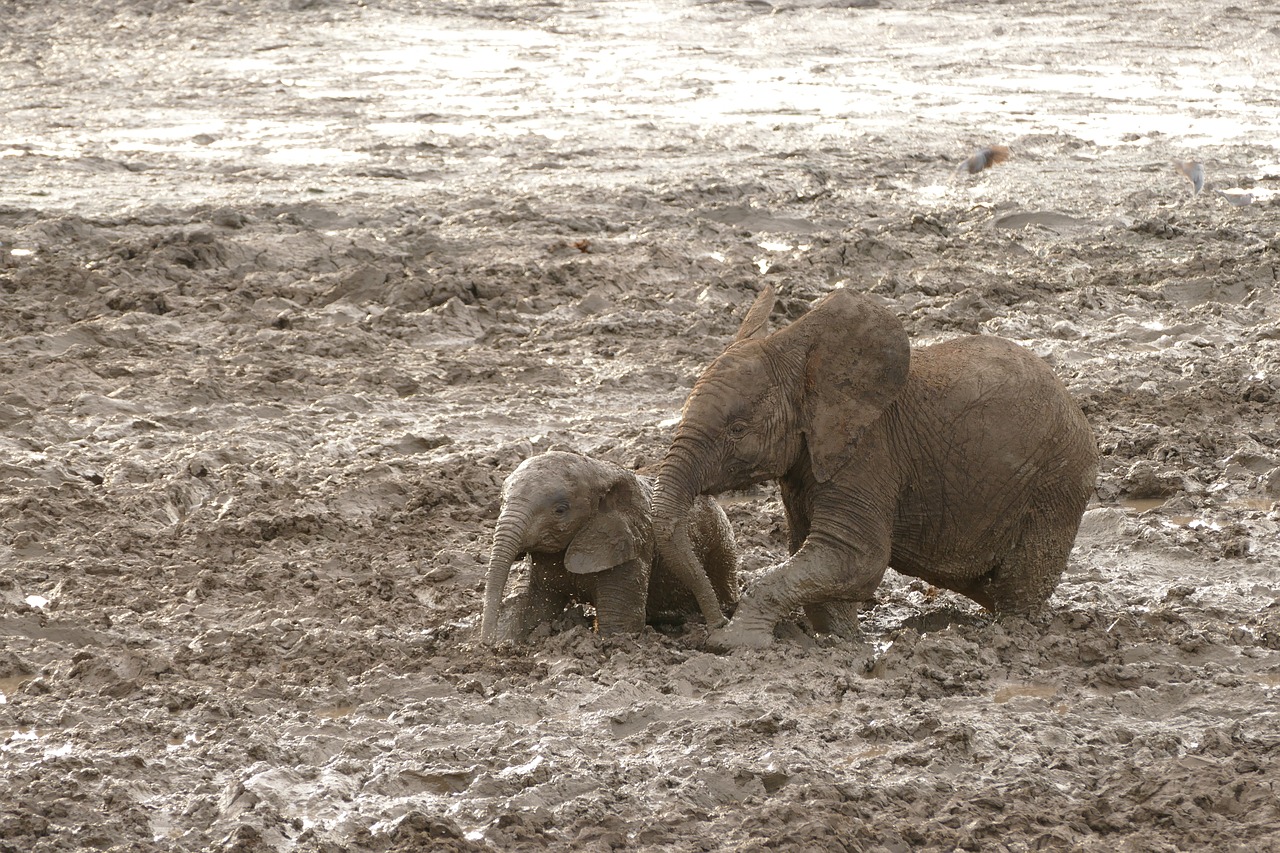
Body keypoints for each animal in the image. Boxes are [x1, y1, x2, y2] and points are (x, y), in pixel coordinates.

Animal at [481, 450, 742, 637]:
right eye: (501, 501)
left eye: (560, 510)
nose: (487, 644)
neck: (598, 471)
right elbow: (532, 609)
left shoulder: (633, 545)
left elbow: (617, 625)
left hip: (722, 547)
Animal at [655, 281, 1095, 648]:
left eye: (737, 429)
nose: (713, 623)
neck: (803, 360)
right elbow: (818, 561)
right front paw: (842, 644)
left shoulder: (868, 455)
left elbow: (855, 556)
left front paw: (737, 643)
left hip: (1055, 484)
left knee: (1020, 586)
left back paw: (1012, 633)